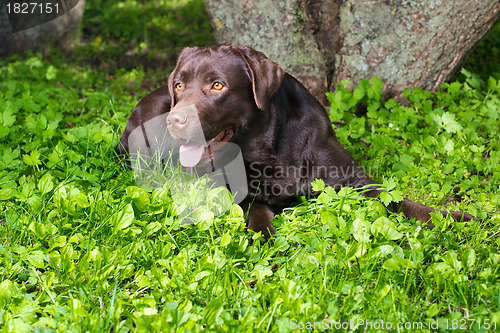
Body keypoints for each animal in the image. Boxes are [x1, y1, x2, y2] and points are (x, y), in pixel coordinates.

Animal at [117, 44, 476, 237]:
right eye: (179, 85)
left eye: (217, 85)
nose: (175, 120)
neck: (267, 147)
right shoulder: (246, 195)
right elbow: (257, 217)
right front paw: (262, 242)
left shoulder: (353, 180)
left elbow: (400, 201)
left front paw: (456, 218)